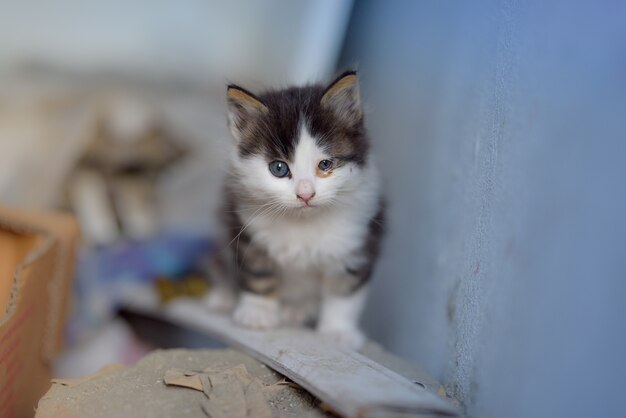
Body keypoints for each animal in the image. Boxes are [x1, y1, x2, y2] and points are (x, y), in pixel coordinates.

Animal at [205, 71, 382, 350]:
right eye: (279, 168)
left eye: (325, 164)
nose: (305, 194)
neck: (302, 222)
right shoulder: (245, 227)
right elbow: (257, 271)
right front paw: (257, 312)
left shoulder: (359, 240)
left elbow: (344, 291)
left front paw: (338, 332)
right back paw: (223, 296)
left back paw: (297, 311)